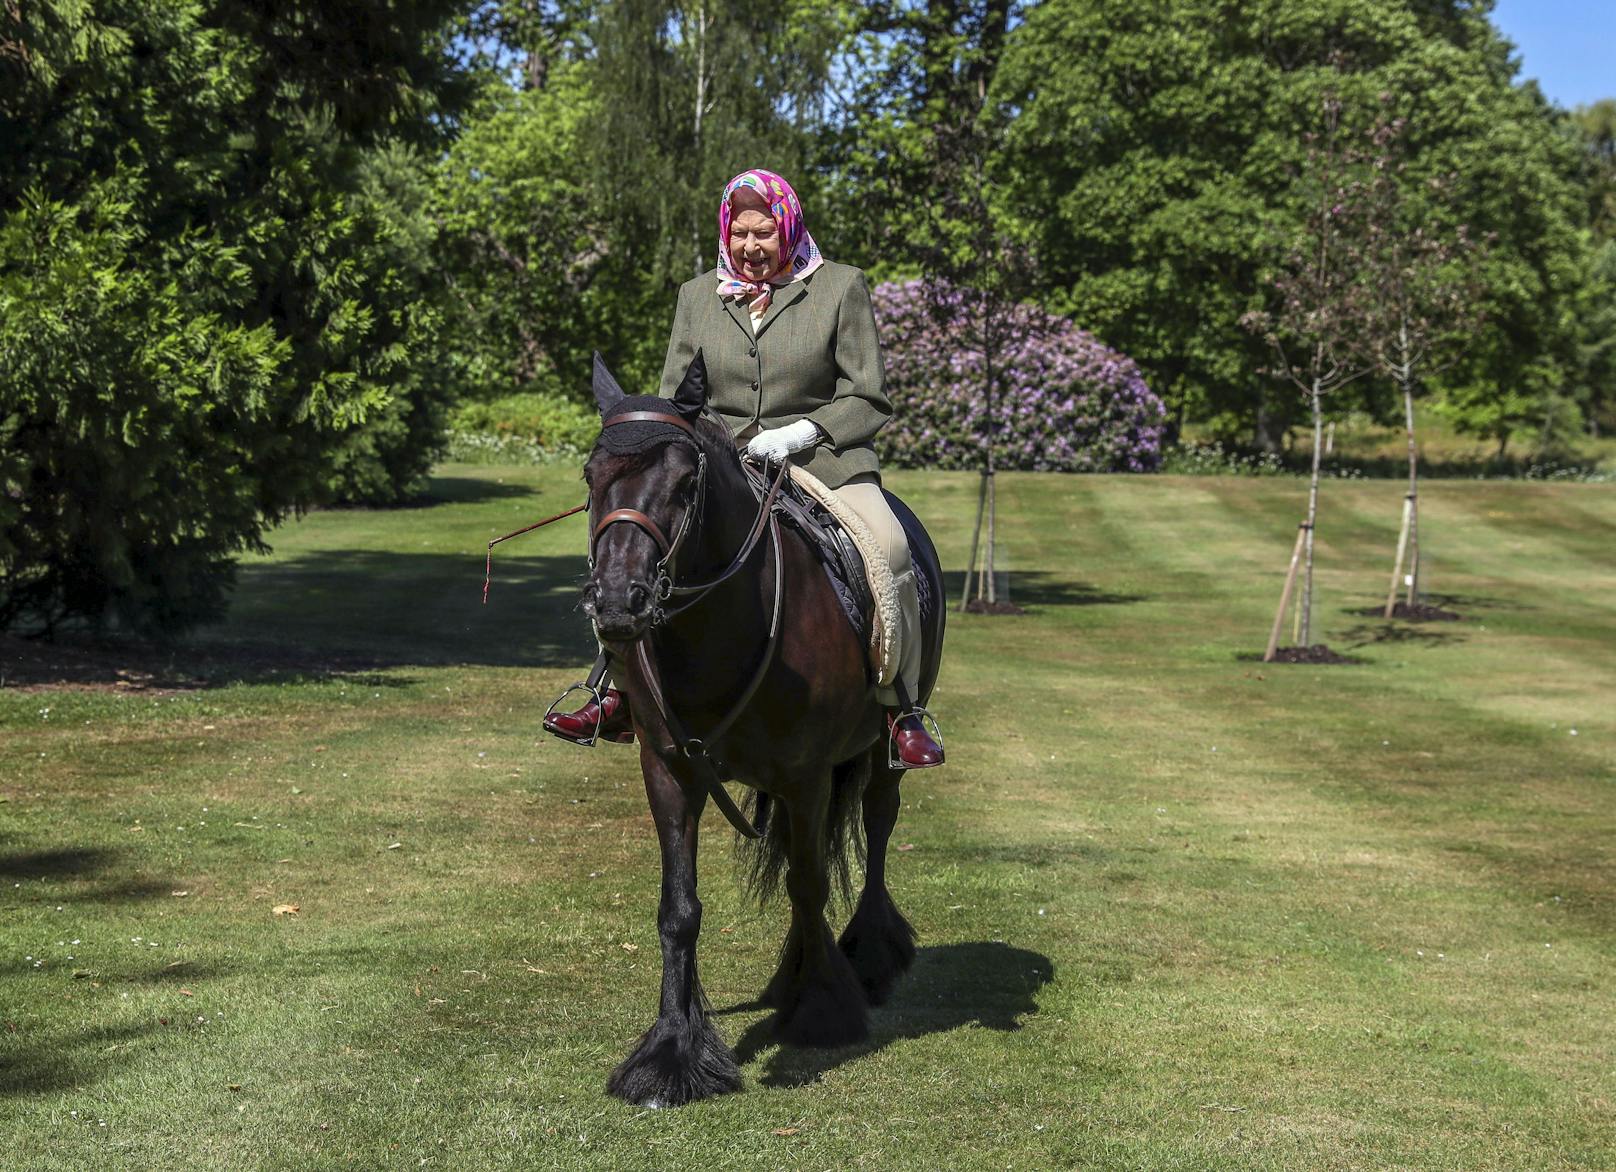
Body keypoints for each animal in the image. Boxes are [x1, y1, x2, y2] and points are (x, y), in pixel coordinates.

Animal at [581, 352, 943, 1099]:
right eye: (590, 477)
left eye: (685, 482)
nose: (619, 602)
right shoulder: (669, 769)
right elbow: (679, 909)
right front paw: (673, 1051)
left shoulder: (806, 774)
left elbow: (809, 885)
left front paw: (823, 1010)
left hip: (882, 754)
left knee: (877, 831)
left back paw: (867, 954)